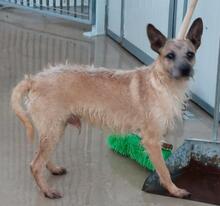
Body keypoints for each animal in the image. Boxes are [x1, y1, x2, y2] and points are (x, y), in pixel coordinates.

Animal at [10, 18, 203, 200]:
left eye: (190, 54)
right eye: (170, 55)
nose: (186, 70)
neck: (162, 82)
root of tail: (34, 80)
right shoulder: (151, 141)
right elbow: (164, 169)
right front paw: (174, 190)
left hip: (54, 129)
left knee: (42, 156)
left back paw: (54, 169)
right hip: (53, 130)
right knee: (35, 164)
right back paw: (47, 191)